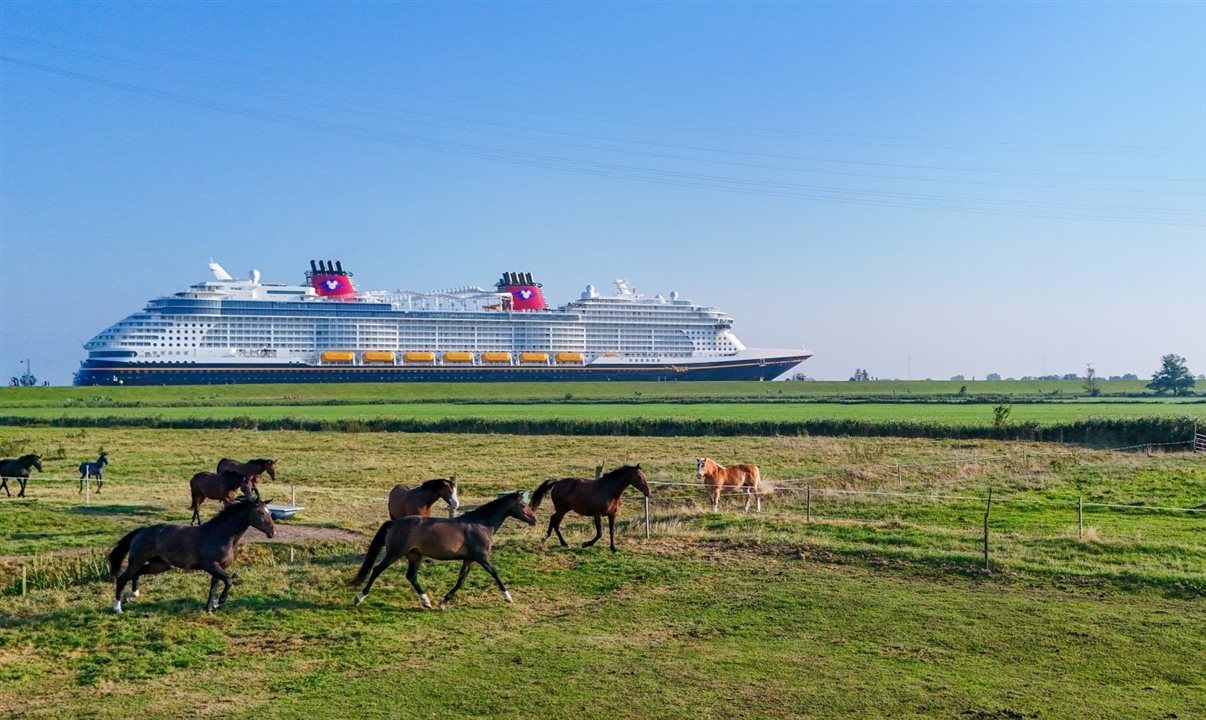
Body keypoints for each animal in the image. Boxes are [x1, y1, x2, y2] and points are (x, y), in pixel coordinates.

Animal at [109, 496, 276, 615]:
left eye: (270, 512)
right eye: (261, 513)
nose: (273, 532)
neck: (222, 535)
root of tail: (142, 530)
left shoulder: (218, 568)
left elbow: (213, 587)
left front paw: (209, 608)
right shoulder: (211, 565)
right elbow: (228, 581)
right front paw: (218, 603)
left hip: (160, 565)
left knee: (137, 573)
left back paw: (131, 595)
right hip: (138, 561)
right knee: (122, 578)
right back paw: (118, 608)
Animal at [349, 489, 537, 605]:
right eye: (523, 505)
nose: (534, 519)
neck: (481, 525)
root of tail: (394, 522)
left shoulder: (469, 560)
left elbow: (461, 580)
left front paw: (444, 602)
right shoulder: (482, 558)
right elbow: (495, 574)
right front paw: (508, 597)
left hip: (415, 556)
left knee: (411, 576)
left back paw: (426, 602)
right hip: (394, 554)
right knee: (377, 570)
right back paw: (359, 598)